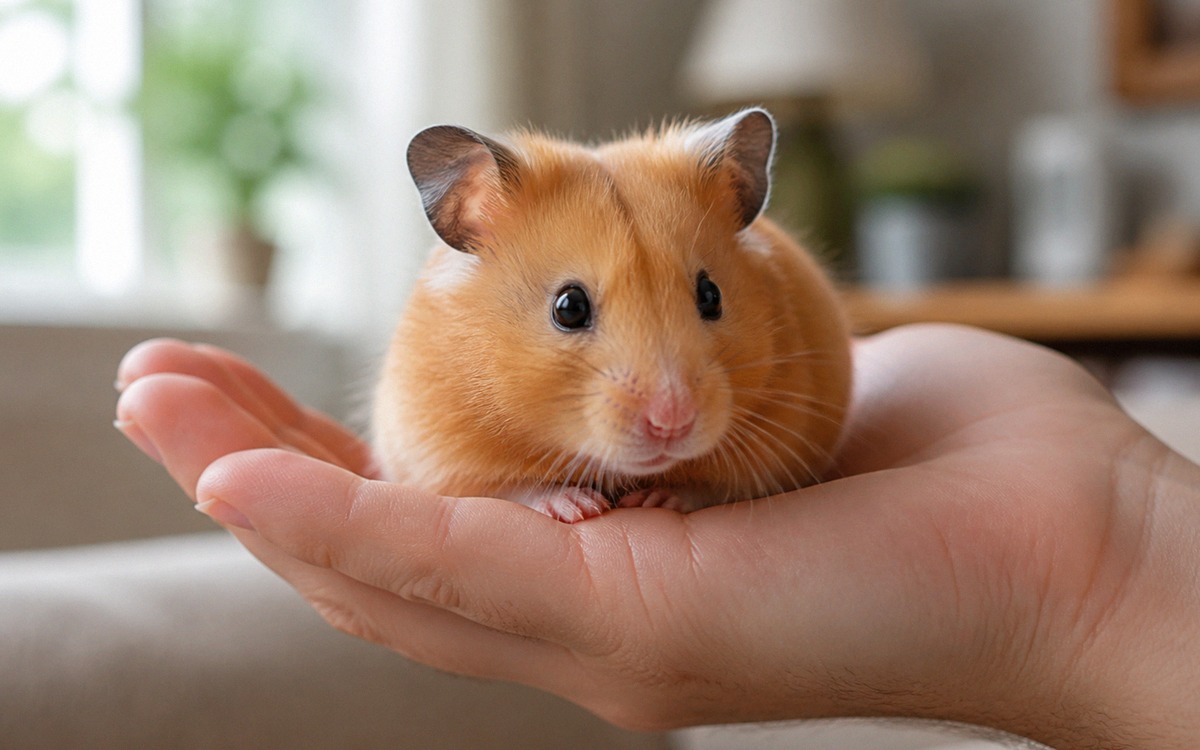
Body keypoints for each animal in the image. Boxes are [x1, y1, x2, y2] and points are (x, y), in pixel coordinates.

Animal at [373, 108, 852, 522]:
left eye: (711, 295)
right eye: (569, 307)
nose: (672, 421)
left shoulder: (779, 447)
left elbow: (715, 486)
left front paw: (658, 498)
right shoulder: (439, 454)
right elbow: (516, 489)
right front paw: (578, 506)